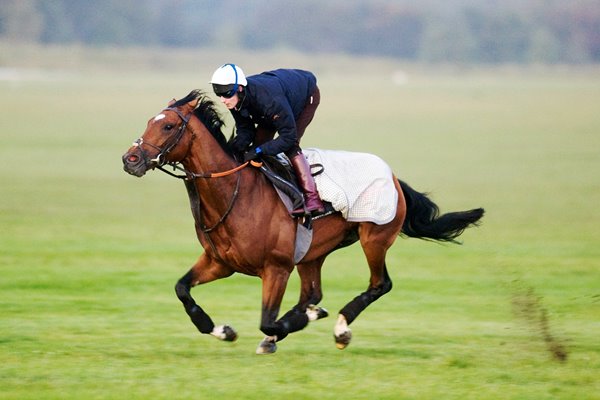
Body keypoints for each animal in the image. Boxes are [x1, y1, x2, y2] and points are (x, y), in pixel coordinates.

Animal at [122, 90, 482, 354]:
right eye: (150, 121)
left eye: (168, 126)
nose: (131, 159)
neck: (235, 195)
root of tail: (393, 176)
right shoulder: (220, 262)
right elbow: (182, 289)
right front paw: (222, 330)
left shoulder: (277, 268)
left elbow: (267, 321)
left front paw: (289, 326)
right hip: (313, 253)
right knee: (313, 292)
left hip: (374, 238)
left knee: (379, 284)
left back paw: (340, 328)